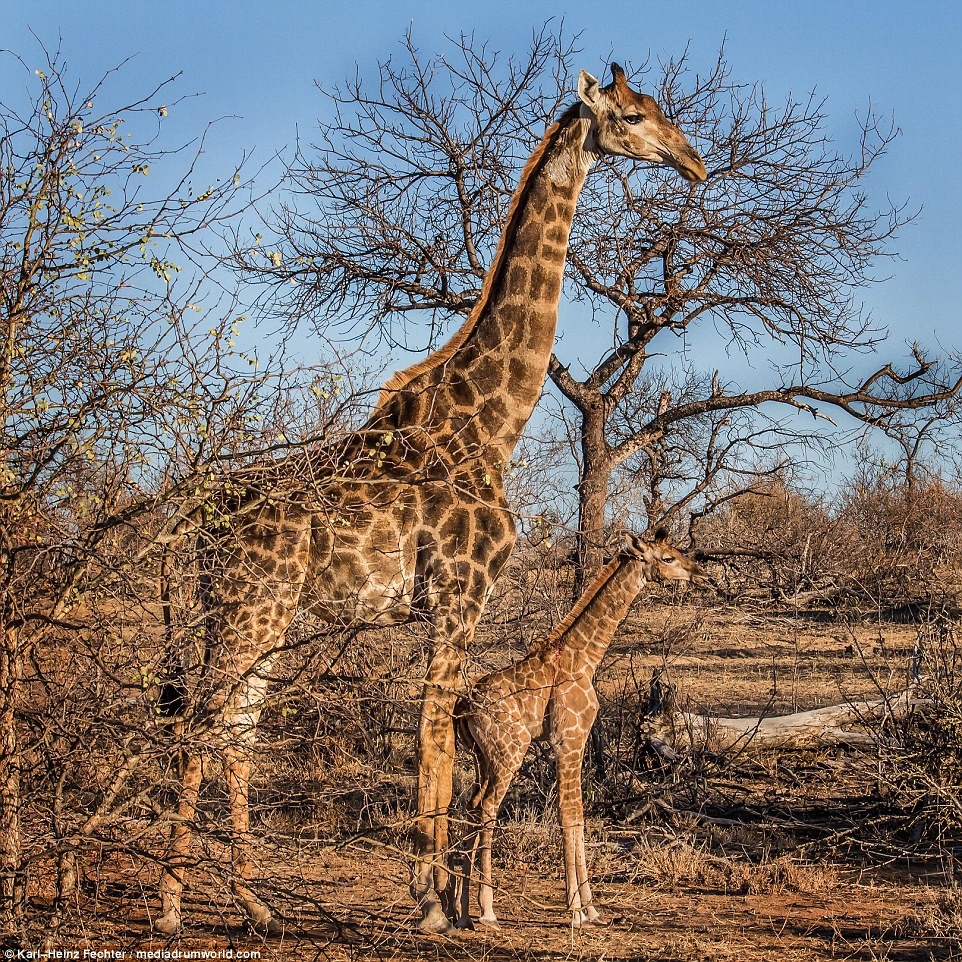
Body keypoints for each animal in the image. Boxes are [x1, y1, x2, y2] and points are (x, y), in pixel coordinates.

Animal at [446, 528, 700, 928]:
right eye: (669, 558)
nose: (699, 572)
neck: (585, 657)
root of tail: (463, 706)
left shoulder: (573, 742)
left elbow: (579, 814)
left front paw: (592, 907)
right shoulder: (568, 739)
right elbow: (570, 814)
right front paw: (577, 909)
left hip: (481, 756)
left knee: (470, 804)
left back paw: (461, 908)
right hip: (509, 751)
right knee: (487, 807)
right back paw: (487, 910)